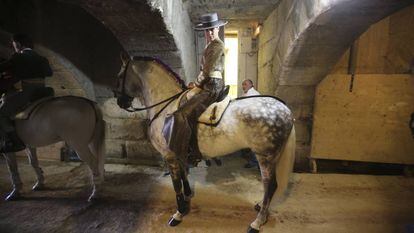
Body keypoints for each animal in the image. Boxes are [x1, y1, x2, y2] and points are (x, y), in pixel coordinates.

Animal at [115, 55, 296, 233]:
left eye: (120, 76)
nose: (120, 102)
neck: (167, 108)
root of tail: (284, 108)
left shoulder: (169, 156)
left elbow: (176, 185)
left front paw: (178, 213)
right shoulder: (179, 154)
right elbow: (184, 176)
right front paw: (188, 197)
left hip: (265, 157)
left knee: (270, 185)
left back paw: (257, 222)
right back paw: (260, 207)